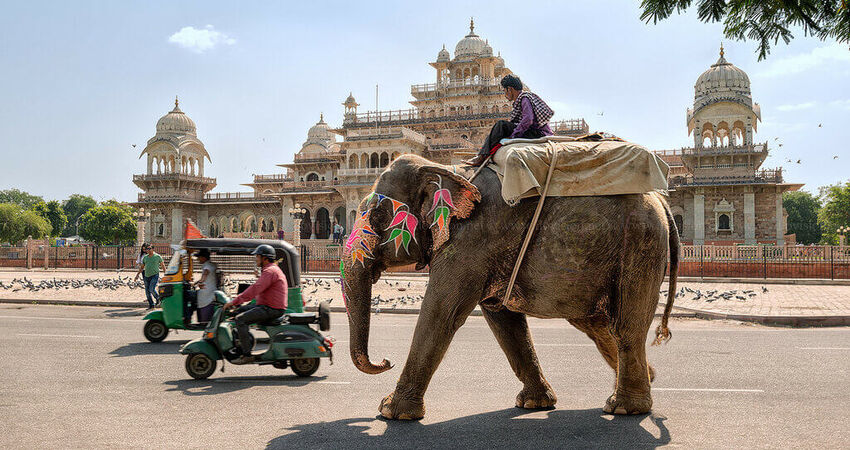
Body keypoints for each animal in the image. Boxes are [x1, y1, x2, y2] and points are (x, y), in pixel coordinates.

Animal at [342, 155, 680, 422]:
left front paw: (391, 412)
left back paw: (624, 408)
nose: (386, 361)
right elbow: (503, 320)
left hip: (640, 245)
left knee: (626, 326)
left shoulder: (472, 239)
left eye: (378, 215)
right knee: (596, 326)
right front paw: (534, 404)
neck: (446, 168)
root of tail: (663, 202)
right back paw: (646, 380)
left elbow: (442, 313)